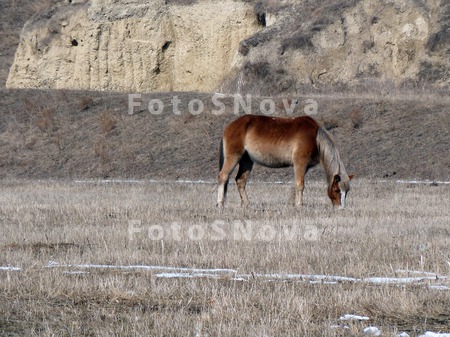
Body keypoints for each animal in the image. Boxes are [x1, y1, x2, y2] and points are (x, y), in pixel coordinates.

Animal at [217, 114, 352, 206]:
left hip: (246, 161)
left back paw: (246, 204)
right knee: (223, 176)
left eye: (347, 192)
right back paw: (220, 203)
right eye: (337, 190)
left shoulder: (304, 167)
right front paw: (299, 205)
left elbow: (295, 185)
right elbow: (300, 185)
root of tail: (229, 126)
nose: (341, 208)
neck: (315, 137)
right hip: (233, 157)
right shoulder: (300, 163)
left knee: (240, 181)